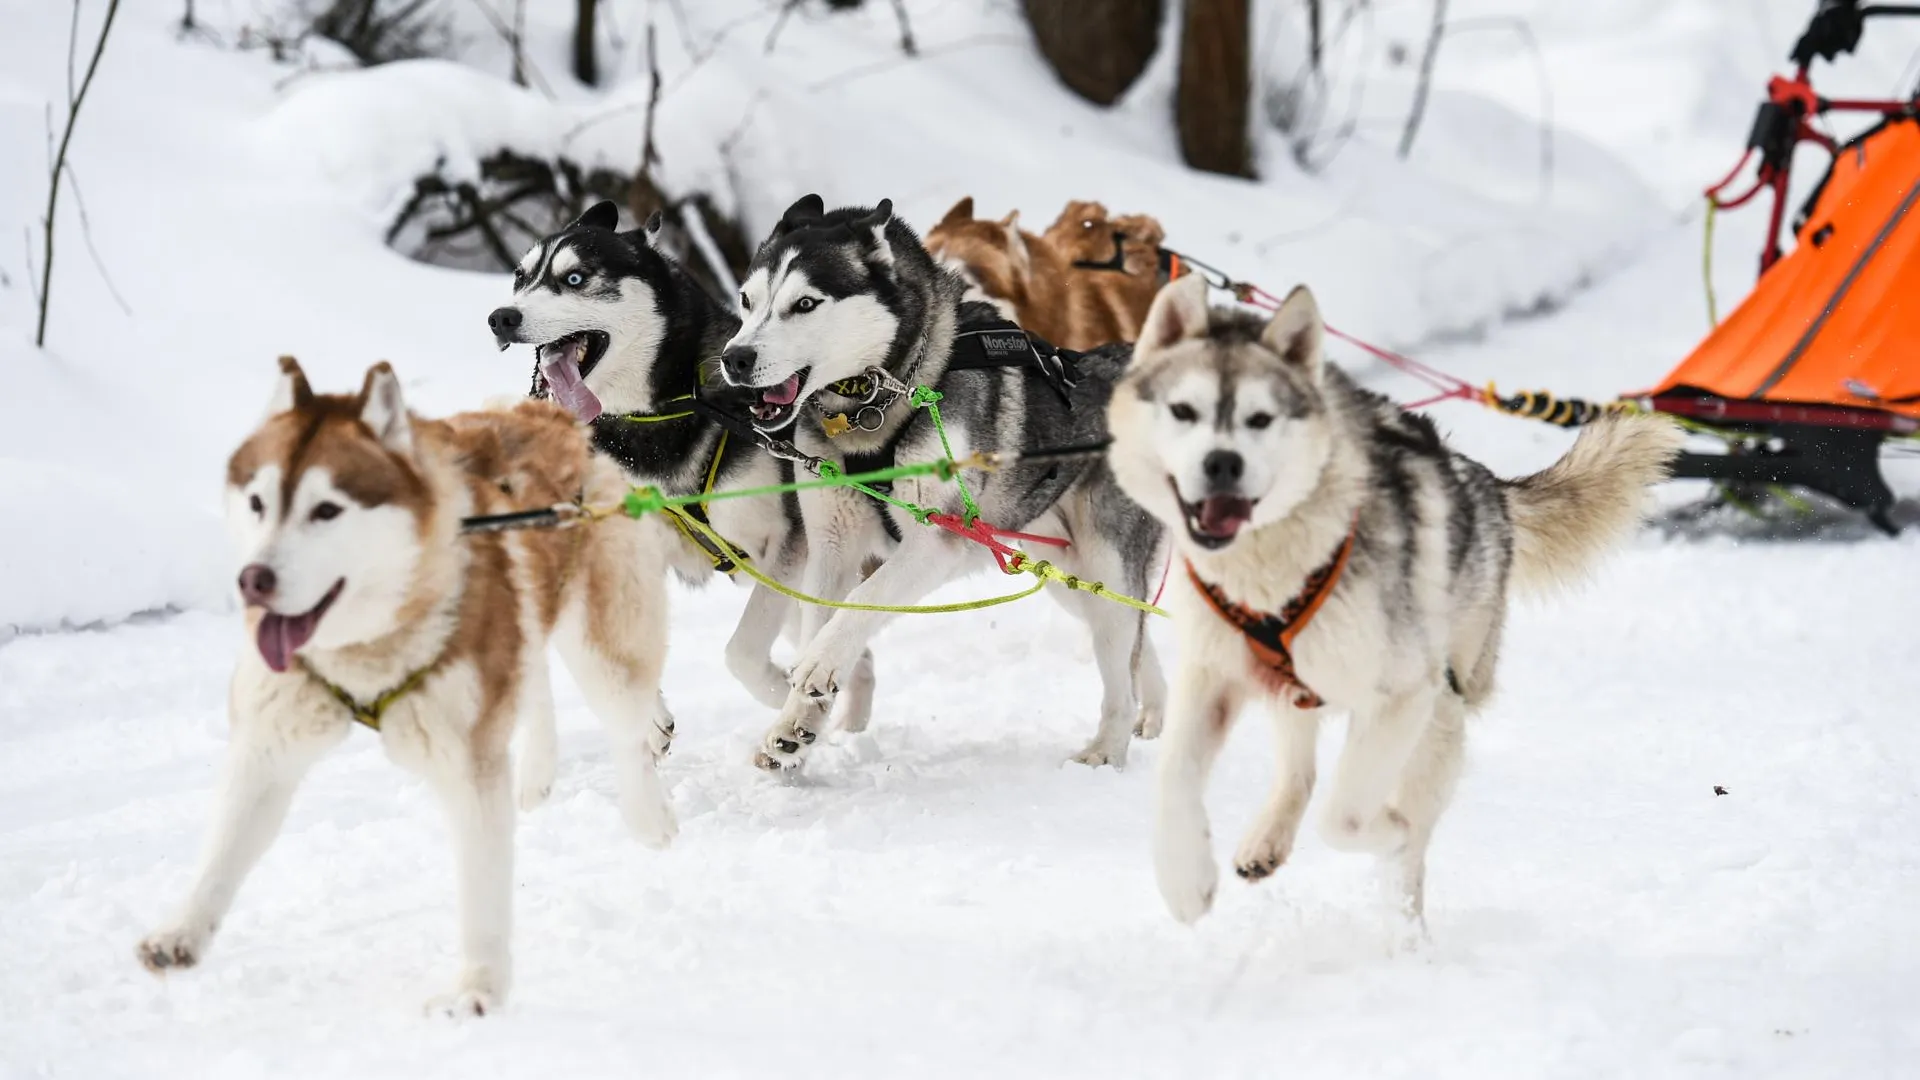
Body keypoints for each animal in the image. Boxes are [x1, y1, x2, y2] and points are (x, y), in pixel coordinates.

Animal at [140, 357, 698, 1014]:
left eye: (327, 510)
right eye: (257, 501)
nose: (253, 579)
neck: (369, 645)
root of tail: (547, 415)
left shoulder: (469, 762)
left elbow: (482, 888)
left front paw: (478, 988)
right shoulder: (268, 743)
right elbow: (222, 851)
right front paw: (181, 930)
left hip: (602, 647)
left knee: (626, 724)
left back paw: (648, 810)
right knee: (537, 680)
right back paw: (539, 771)